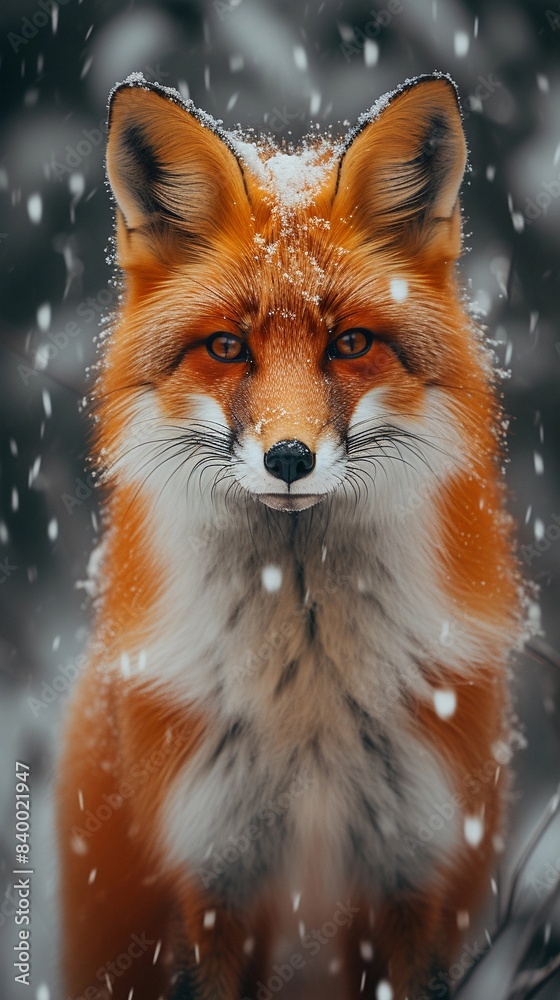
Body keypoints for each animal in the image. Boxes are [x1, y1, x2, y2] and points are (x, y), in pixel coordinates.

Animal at [57, 71, 524, 1000]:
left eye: (350, 343)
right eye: (227, 347)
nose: (288, 458)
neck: (306, 690)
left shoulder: (415, 865)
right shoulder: (211, 874)